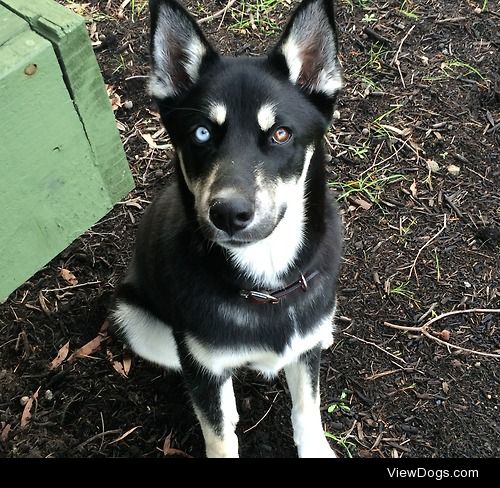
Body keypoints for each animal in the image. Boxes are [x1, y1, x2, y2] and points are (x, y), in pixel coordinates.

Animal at [110, 0, 344, 458]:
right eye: (202, 132)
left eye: (280, 133)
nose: (229, 213)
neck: (265, 284)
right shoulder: (201, 362)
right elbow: (218, 431)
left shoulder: (303, 353)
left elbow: (307, 408)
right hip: (135, 319)